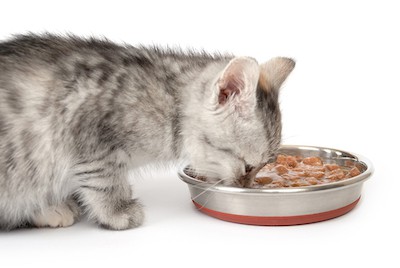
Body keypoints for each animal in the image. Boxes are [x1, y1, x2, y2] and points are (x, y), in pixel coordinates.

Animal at [0, 34, 294, 230]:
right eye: (247, 167)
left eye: (263, 166)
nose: (246, 187)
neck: (170, 102)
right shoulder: (89, 136)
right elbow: (105, 179)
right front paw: (117, 211)